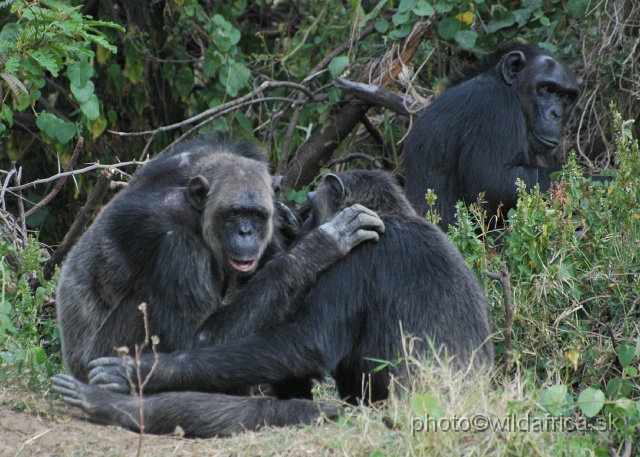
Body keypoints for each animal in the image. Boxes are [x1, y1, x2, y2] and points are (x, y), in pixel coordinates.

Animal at [52, 140, 382, 434]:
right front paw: (320, 244)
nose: (245, 232)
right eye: (234, 213)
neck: (195, 213)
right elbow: (195, 341)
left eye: (256, 215)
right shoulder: (177, 246)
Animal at [53, 169, 496, 436]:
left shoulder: (352, 267)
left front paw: (138, 371)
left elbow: (307, 341)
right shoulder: (179, 247)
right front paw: (322, 244)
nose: (302, 223)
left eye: (310, 206)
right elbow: (203, 335)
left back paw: (108, 401)